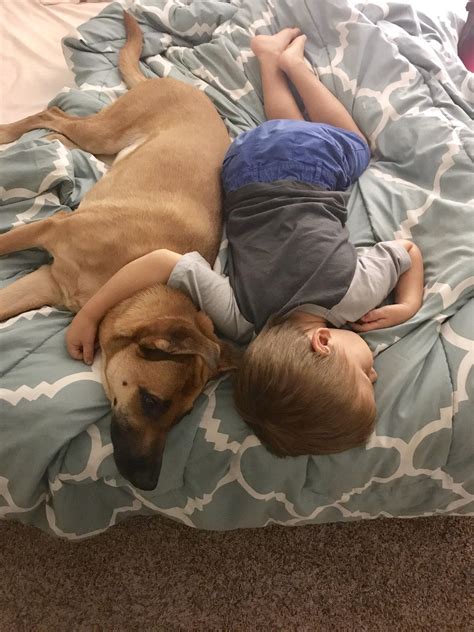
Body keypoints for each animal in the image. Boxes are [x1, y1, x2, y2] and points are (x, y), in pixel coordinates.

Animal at [0, 12, 235, 492]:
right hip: (104, 132)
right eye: (151, 401)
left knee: (58, 125)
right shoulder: (49, 229)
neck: (124, 279)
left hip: (106, 147)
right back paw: (9, 132)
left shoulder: (45, 282)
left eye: (182, 417)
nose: (148, 484)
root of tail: (178, 85)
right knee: (52, 113)